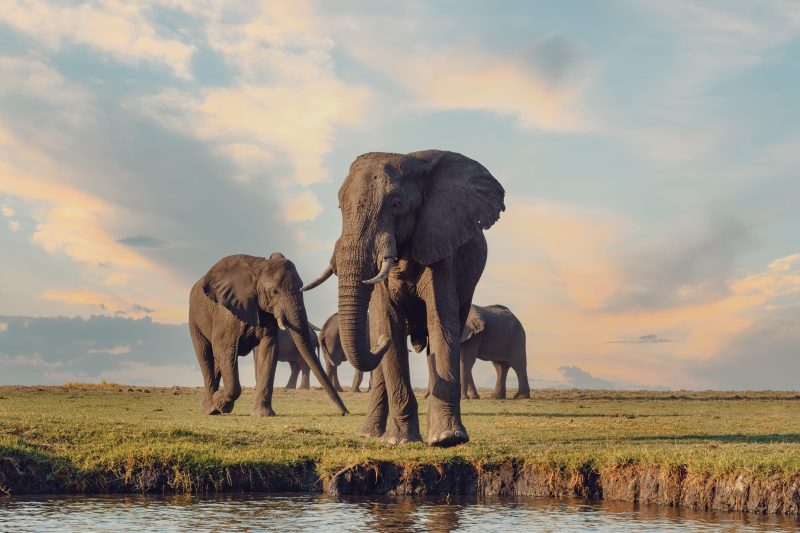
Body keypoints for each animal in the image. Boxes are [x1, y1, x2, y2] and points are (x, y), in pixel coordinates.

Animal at [188, 253, 348, 416]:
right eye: (274, 292)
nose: (344, 412)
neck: (259, 268)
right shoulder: (227, 313)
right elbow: (225, 349)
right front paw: (220, 402)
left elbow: (268, 350)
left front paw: (262, 414)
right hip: (194, 319)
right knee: (205, 355)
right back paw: (211, 408)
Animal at [303, 150, 505, 446]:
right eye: (340, 208)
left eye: (397, 205)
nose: (379, 342)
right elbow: (389, 326)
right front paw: (401, 440)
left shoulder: (439, 243)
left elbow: (442, 325)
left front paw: (448, 438)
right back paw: (372, 434)